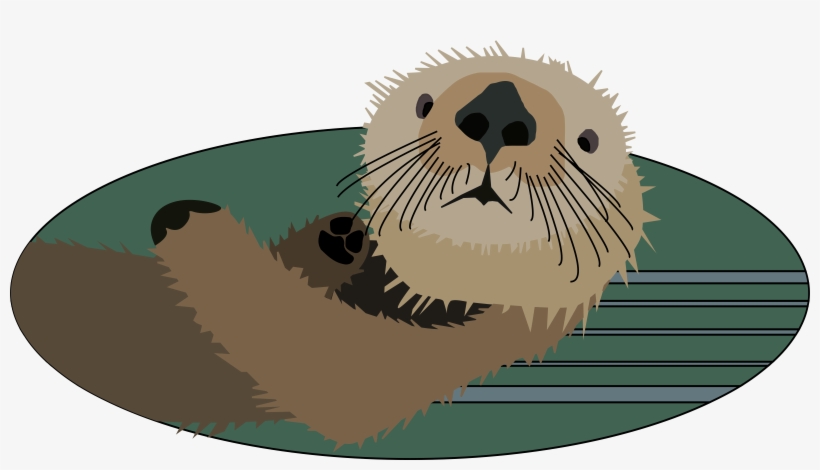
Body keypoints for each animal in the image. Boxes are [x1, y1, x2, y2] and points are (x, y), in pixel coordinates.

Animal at [10, 43, 657, 448]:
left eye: (589, 139)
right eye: (424, 102)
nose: (497, 112)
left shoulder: (455, 344)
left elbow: (312, 361)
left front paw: (187, 218)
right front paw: (341, 237)